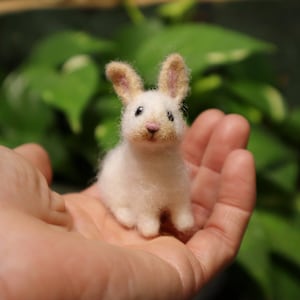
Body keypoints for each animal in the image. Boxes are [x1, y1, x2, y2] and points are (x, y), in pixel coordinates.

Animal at [97, 53, 193, 237]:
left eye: (170, 115)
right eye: (138, 111)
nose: (152, 127)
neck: (156, 158)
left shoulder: (180, 195)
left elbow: (182, 213)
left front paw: (186, 226)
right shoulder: (143, 201)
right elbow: (147, 218)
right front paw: (149, 232)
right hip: (114, 193)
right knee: (118, 208)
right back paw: (128, 220)